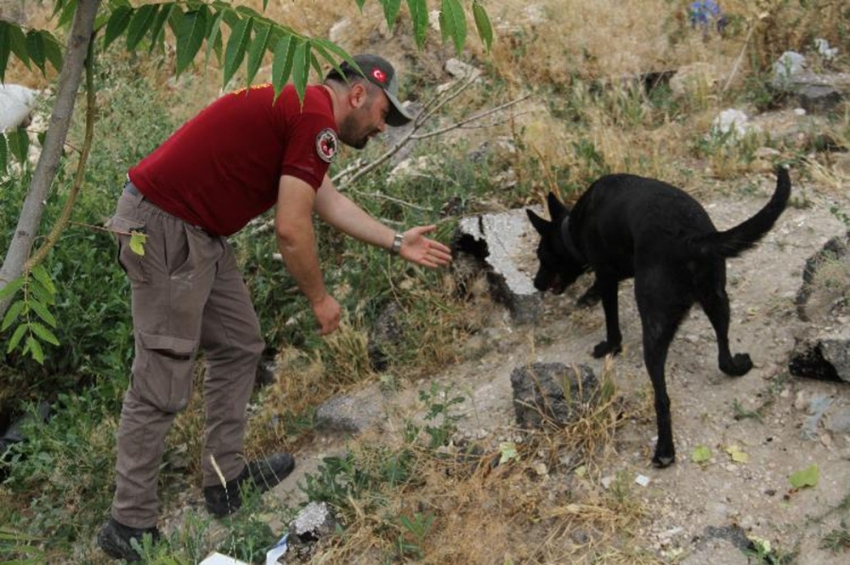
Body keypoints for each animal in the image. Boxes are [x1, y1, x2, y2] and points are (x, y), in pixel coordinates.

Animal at [528, 167, 792, 468]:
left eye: (541, 255)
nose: (536, 283)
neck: (573, 226)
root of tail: (690, 239)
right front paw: (588, 295)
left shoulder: (607, 276)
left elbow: (612, 322)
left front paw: (609, 345)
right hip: (718, 299)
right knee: (723, 356)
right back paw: (739, 366)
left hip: (655, 328)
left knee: (662, 398)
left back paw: (665, 449)